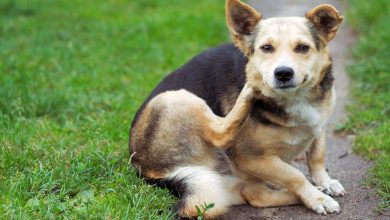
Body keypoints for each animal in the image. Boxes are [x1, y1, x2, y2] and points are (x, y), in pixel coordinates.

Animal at [130, 0, 344, 218]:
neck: (296, 98)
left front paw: (324, 183)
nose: (283, 73)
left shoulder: (320, 124)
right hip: (176, 97)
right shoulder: (250, 157)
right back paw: (249, 90)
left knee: (255, 195)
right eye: (266, 48)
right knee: (221, 134)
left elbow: (317, 155)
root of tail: (146, 170)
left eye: (302, 48)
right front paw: (317, 198)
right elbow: (295, 175)